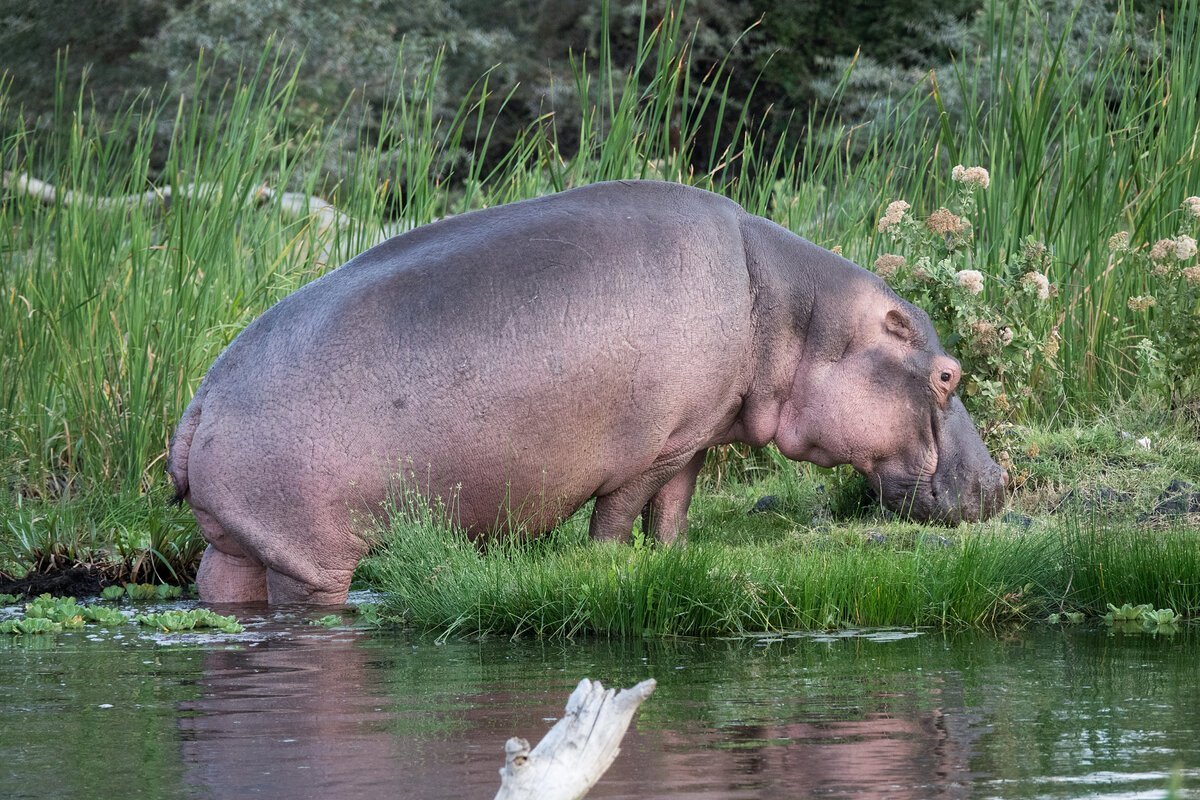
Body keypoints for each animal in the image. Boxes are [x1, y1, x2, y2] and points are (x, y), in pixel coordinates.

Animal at [169, 181, 1008, 604]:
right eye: (948, 375)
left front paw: (672, 559)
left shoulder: (694, 436)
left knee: (224, 587)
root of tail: (202, 398)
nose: (999, 484)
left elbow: (673, 510)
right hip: (309, 556)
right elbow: (619, 514)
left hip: (241, 541)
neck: (798, 317)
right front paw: (608, 566)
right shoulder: (649, 448)